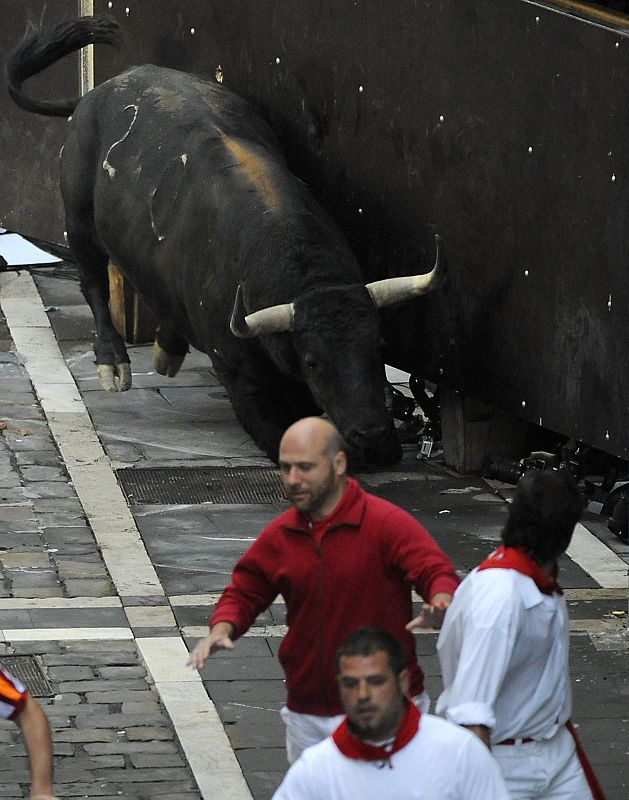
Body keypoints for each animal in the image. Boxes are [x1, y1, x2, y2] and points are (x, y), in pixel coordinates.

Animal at [7, 17, 444, 462]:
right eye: (313, 362)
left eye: (379, 348)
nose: (371, 434)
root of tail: (100, 91)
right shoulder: (240, 380)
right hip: (77, 219)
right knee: (92, 280)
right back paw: (113, 363)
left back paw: (168, 349)